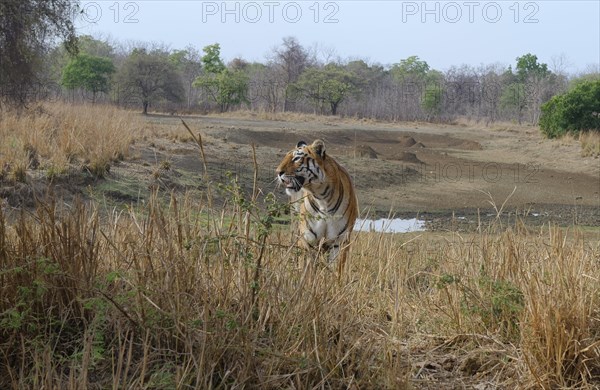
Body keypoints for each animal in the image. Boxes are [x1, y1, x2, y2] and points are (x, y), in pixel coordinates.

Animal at [276, 139, 358, 270]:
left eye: (296, 159)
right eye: (285, 157)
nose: (278, 172)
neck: (322, 198)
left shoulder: (340, 241)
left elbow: (336, 270)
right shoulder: (308, 239)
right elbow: (306, 268)